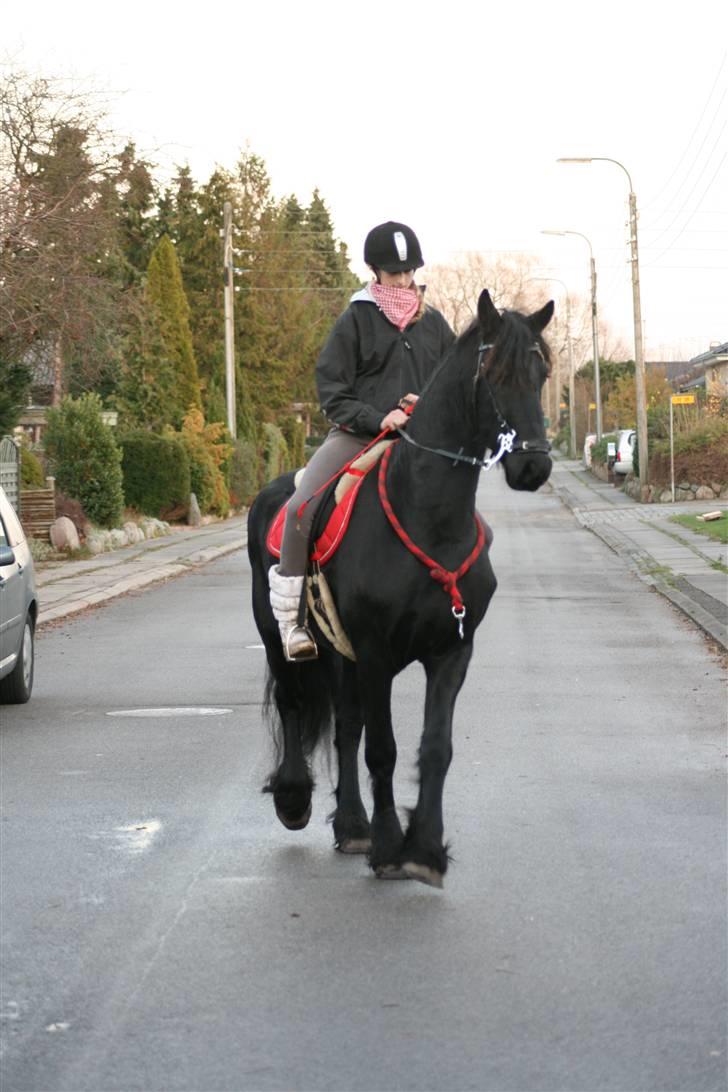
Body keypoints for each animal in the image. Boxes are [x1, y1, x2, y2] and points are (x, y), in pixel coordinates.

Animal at [247, 288, 554, 886]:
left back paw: (352, 825)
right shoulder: (375, 653)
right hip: (280, 637)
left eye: (542, 371)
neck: (428, 516)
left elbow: (434, 748)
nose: (533, 465)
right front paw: (392, 847)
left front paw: (424, 849)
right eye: (493, 371)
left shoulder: (451, 651)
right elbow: (383, 750)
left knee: (345, 727)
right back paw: (296, 799)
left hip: (340, 655)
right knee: (295, 704)